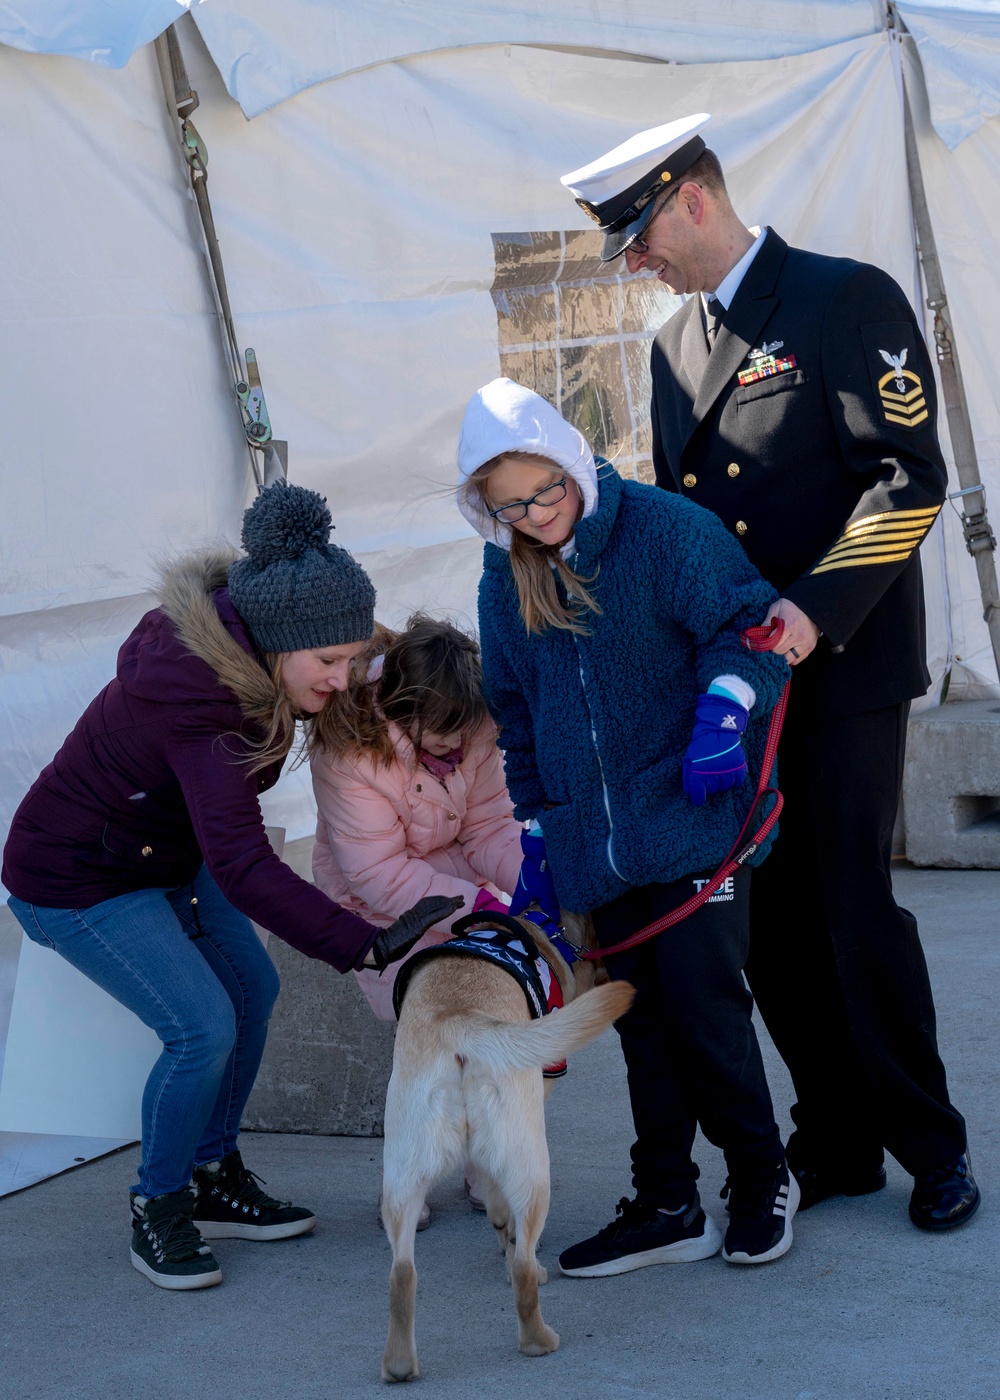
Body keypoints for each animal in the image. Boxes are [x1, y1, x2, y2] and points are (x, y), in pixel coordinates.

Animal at [380, 912, 630, 1383]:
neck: (550, 932)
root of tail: (458, 1020)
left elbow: (494, 1206)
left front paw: (497, 1225)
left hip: (403, 1177)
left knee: (402, 1274)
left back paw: (399, 1366)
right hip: (532, 1167)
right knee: (524, 1270)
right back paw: (539, 1338)